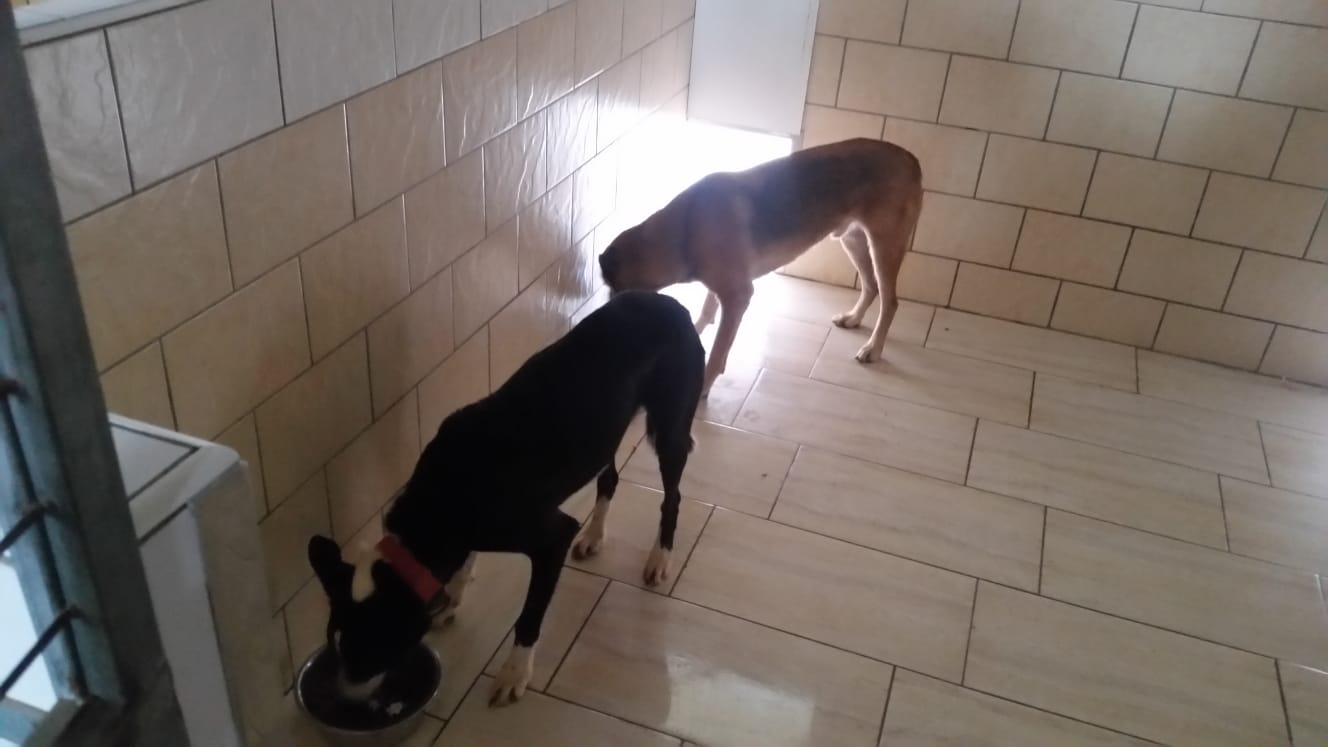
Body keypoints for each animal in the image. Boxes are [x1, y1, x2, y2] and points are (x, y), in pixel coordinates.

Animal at [306, 290, 704, 708]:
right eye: (334, 645)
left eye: (367, 652)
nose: (342, 698)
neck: (440, 499)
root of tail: (670, 302)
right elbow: (464, 562)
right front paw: (453, 595)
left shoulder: (551, 539)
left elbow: (528, 618)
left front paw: (515, 672)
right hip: (606, 432)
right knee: (609, 477)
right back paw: (595, 534)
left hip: (670, 430)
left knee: (672, 497)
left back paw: (660, 557)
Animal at [598, 137, 923, 394]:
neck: (684, 229)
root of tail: (911, 158)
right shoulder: (720, 287)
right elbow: (707, 310)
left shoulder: (738, 296)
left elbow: (718, 352)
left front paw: (703, 388)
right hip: (854, 242)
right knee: (870, 286)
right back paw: (854, 318)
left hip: (883, 247)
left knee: (890, 301)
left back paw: (873, 348)